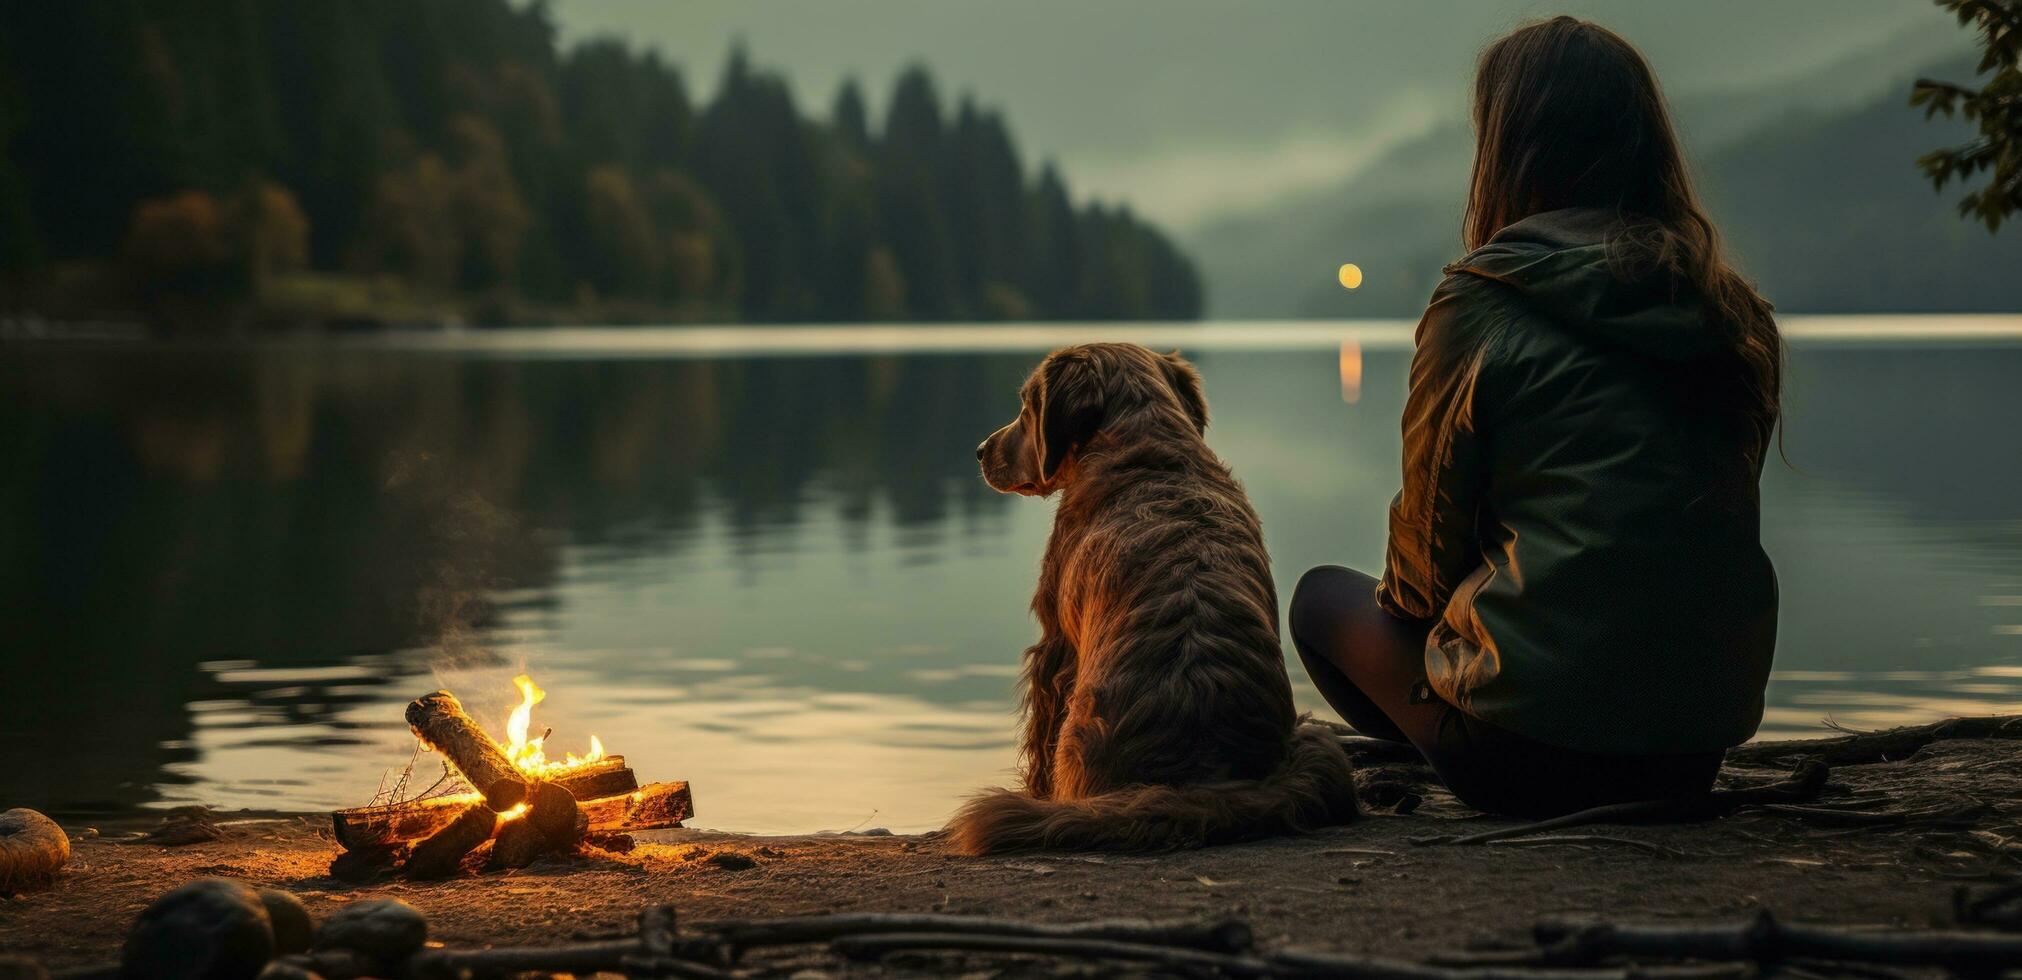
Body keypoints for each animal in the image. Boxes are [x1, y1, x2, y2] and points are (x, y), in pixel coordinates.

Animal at [950, 347, 1358, 852]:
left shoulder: (1055, 646)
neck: (1149, 451)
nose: (980, 450)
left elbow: (1039, 741)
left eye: (1027, 406)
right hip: (1318, 743)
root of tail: (1201, 780)